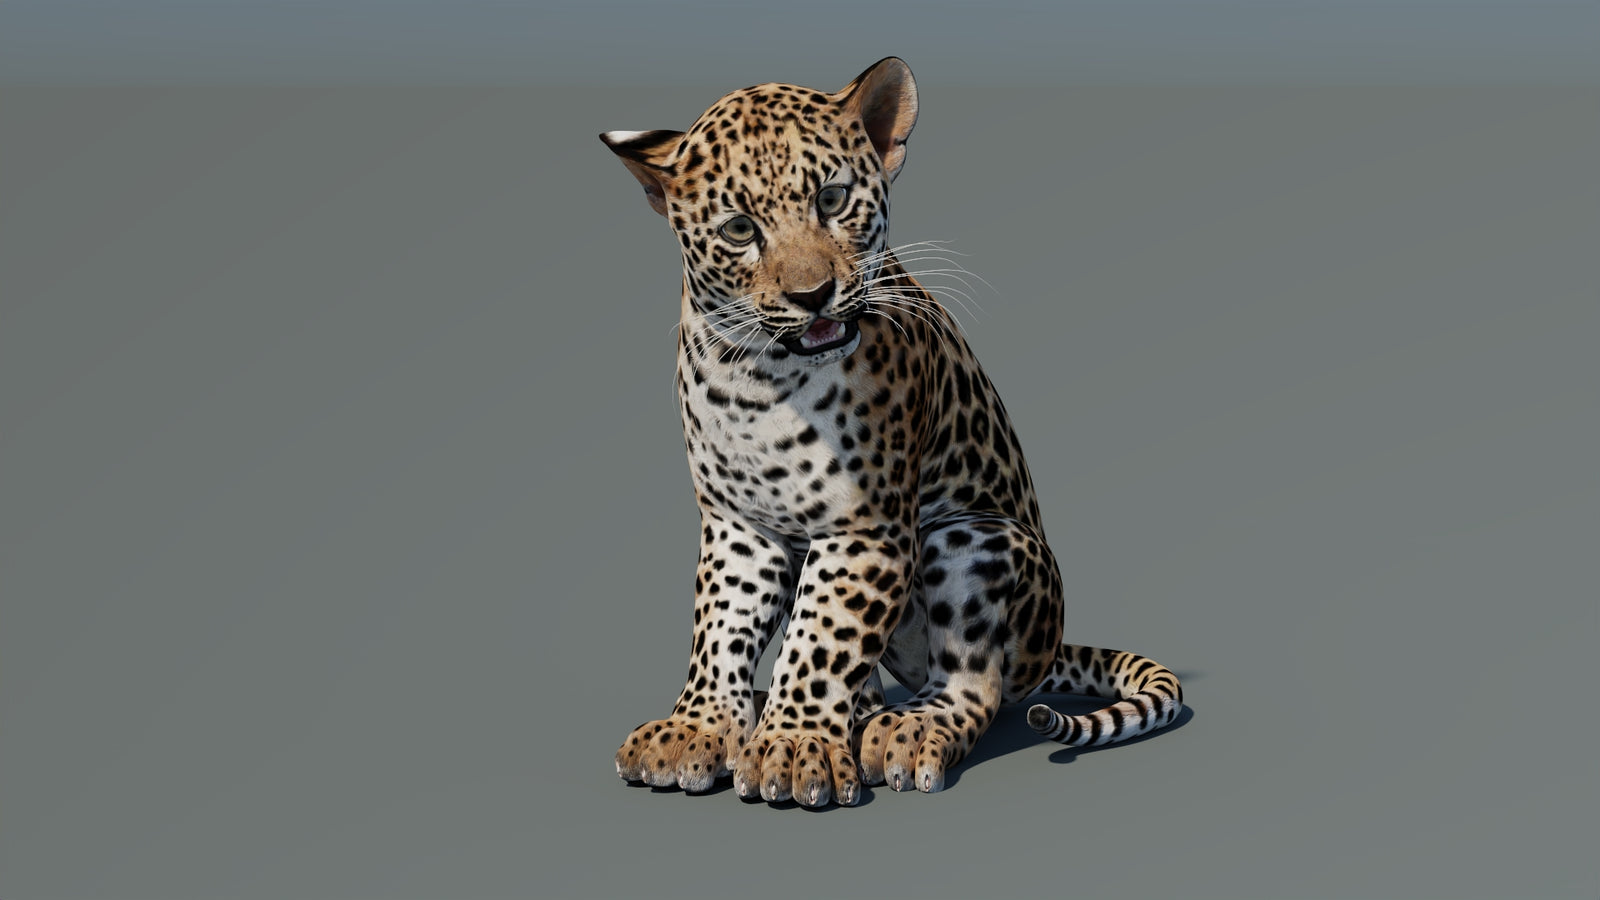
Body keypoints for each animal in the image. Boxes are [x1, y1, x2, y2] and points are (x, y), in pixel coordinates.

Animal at [600, 57, 1183, 808]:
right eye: (737, 229)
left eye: (832, 198)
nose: (812, 295)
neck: (760, 379)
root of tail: (1049, 648)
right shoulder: (739, 524)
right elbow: (721, 627)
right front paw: (697, 728)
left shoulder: (865, 526)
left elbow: (822, 639)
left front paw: (794, 747)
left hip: (973, 539)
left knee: (973, 681)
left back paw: (903, 729)